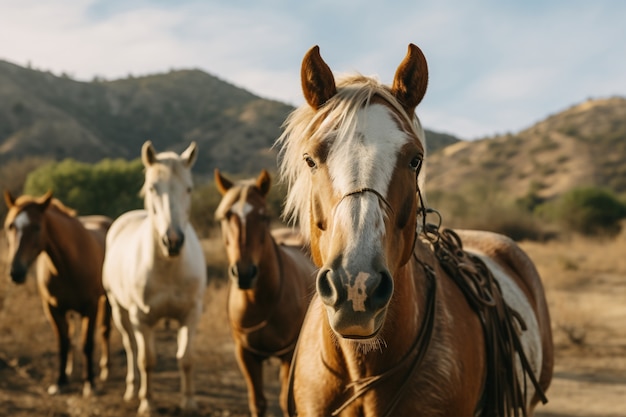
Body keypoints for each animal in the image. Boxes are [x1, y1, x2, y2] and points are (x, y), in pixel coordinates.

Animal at [3, 190, 112, 394]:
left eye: (37, 227)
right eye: (10, 226)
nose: (16, 271)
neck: (68, 262)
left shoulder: (91, 307)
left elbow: (87, 344)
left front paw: (89, 383)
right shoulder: (53, 309)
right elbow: (63, 343)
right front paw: (61, 381)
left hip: (107, 300)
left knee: (105, 330)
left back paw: (105, 370)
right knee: (70, 335)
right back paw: (69, 369)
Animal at [102, 141, 207, 414]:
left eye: (189, 188)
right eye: (152, 188)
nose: (173, 241)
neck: (168, 267)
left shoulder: (191, 314)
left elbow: (186, 359)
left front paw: (189, 402)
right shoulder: (141, 318)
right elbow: (146, 360)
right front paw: (147, 403)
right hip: (119, 310)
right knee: (131, 347)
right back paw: (132, 389)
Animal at [214, 167, 316, 414]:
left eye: (264, 216)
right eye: (225, 216)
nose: (244, 272)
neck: (258, 301)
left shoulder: (289, 354)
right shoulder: (245, 355)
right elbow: (258, 402)